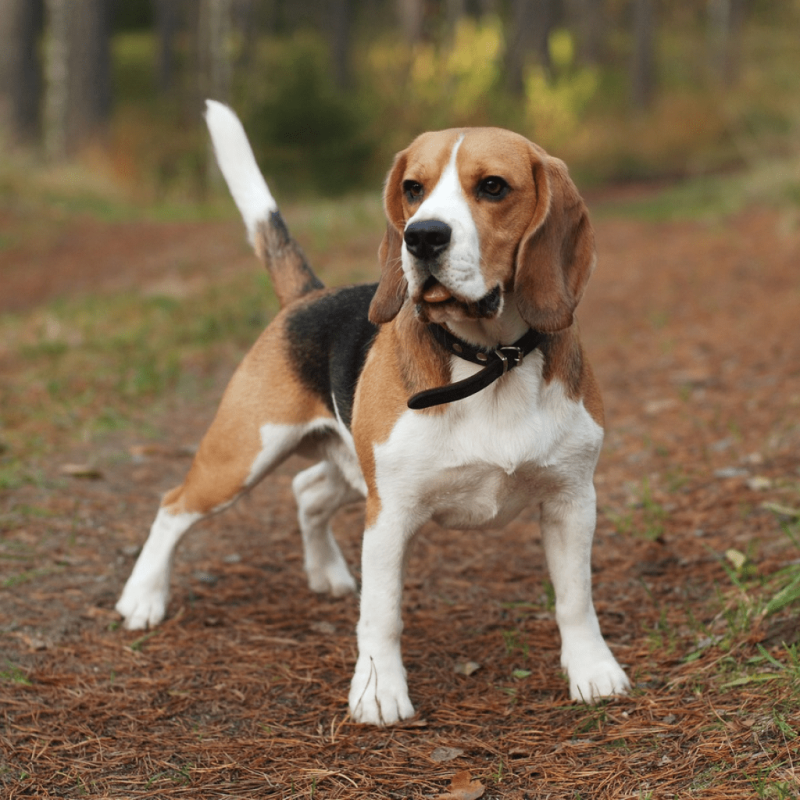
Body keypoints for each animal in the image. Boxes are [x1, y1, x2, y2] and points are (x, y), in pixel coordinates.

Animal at [119, 100, 632, 724]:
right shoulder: (391, 514)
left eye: (493, 186)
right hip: (243, 456)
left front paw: (592, 672)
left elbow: (576, 599)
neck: (492, 361)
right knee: (173, 506)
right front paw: (379, 692)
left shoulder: (572, 500)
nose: (422, 237)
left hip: (348, 468)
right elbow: (382, 614)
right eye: (413, 188)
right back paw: (142, 598)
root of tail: (307, 296)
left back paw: (327, 574)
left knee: (307, 492)